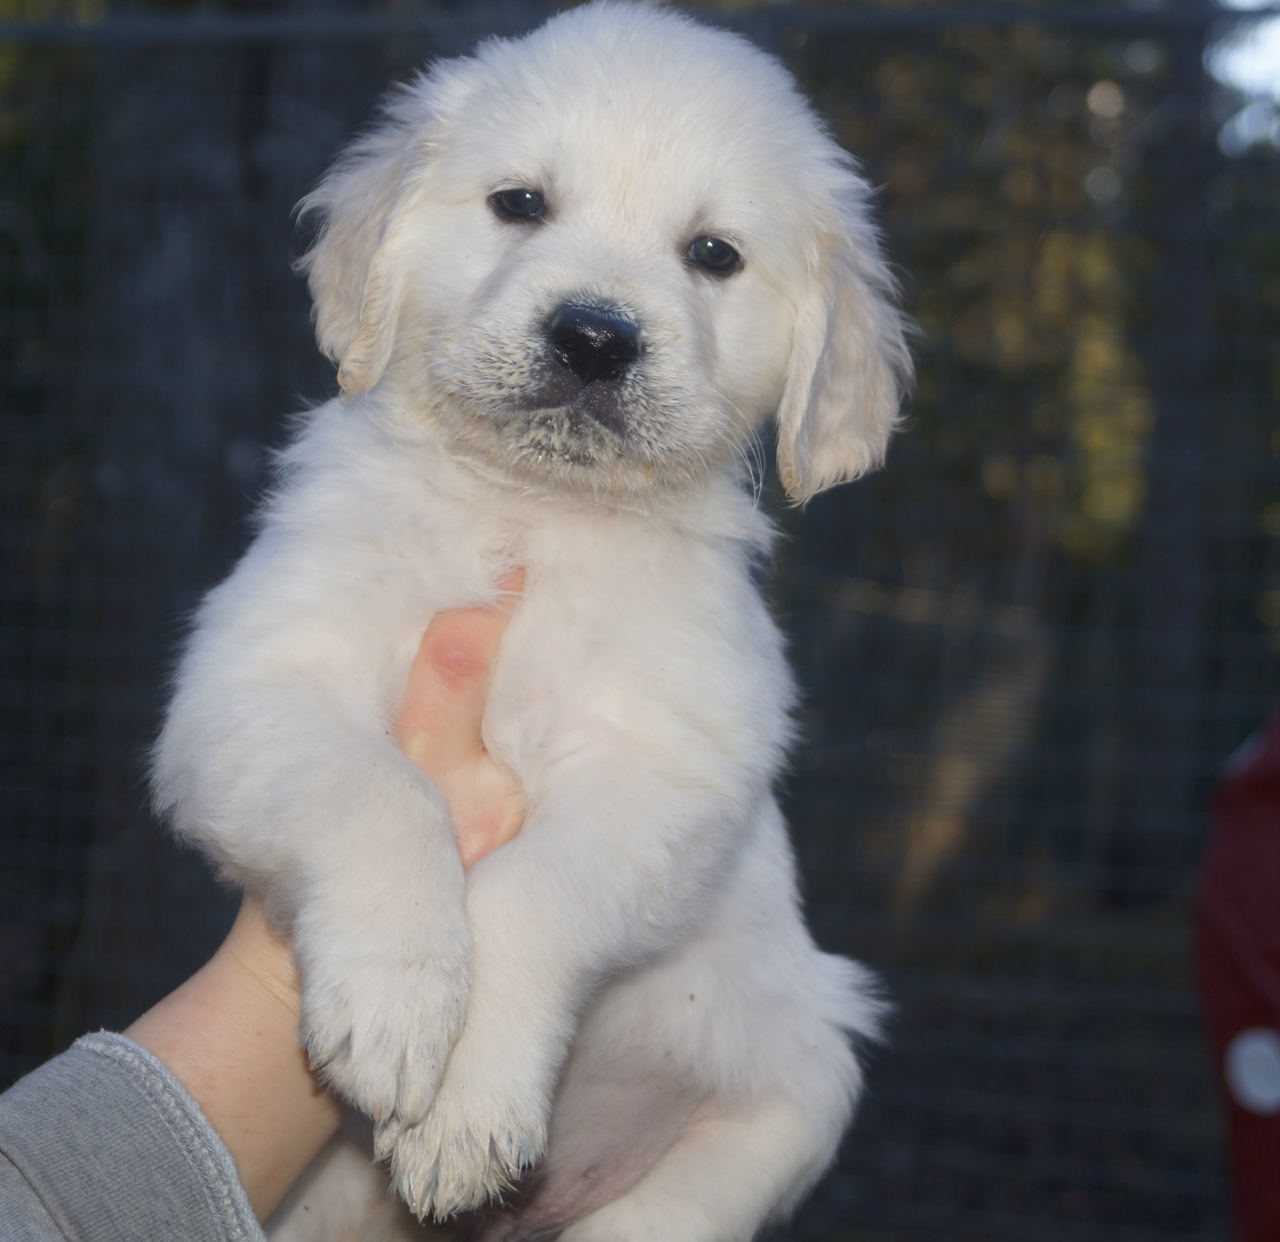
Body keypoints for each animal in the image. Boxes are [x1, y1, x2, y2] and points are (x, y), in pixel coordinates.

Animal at [153, 4, 911, 1238]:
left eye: (713, 254)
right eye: (520, 203)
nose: (595, 337)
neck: (531, 516)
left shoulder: (667, 771)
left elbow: (528, 899)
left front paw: (464, 1106)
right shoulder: (252, 686)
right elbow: (384, 796)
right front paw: (397, 1009)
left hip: (792, 1094)